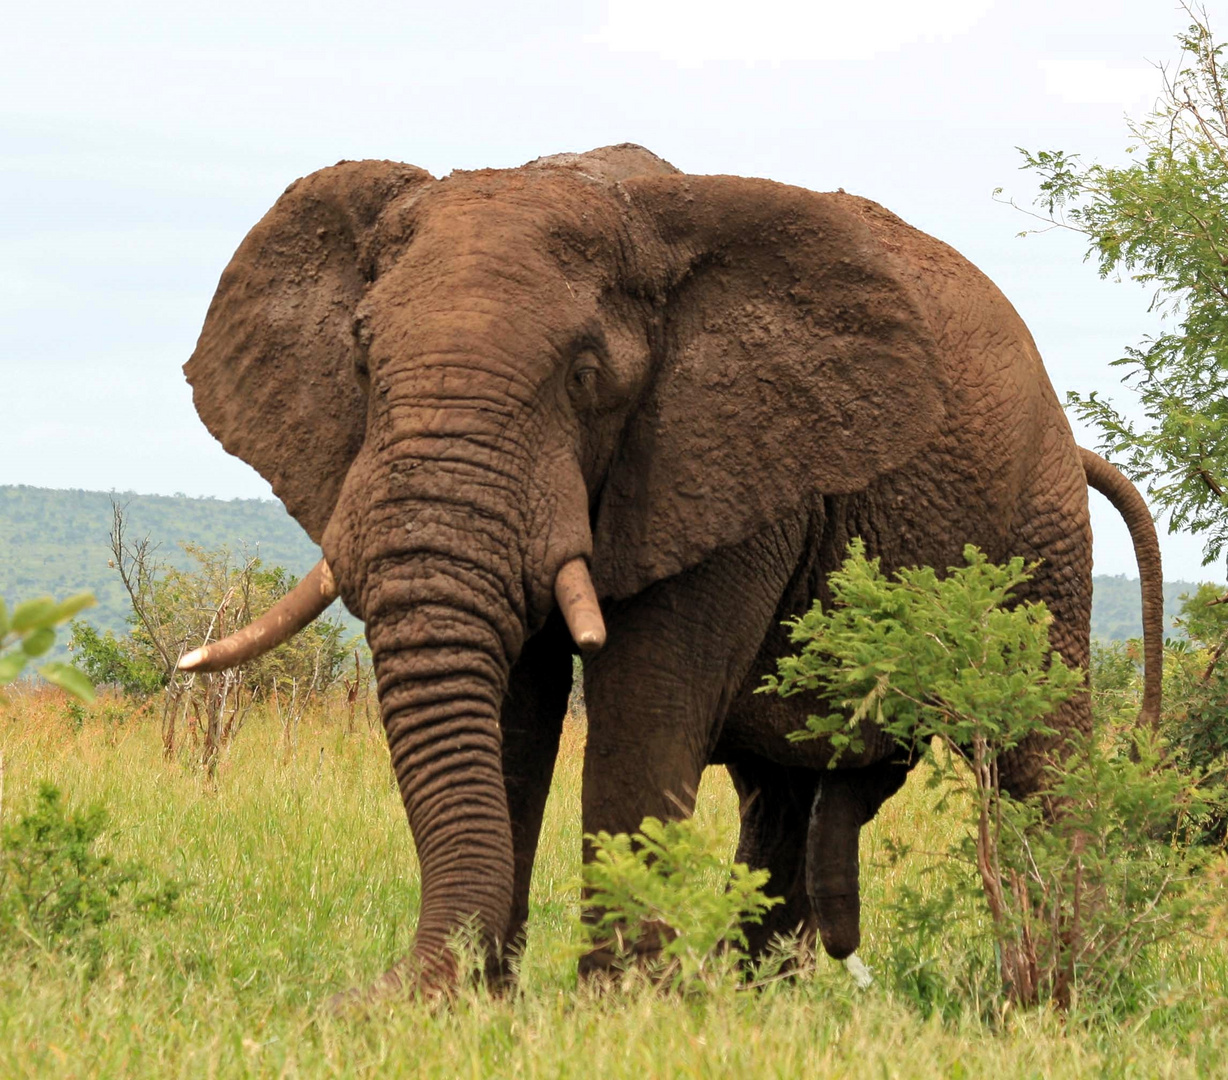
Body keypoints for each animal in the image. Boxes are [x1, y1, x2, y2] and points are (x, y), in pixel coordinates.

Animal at [178, 141, 1164, 997]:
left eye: (584, 376)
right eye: (360, 358)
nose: (358, 999)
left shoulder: (726, 462)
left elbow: (645, 710)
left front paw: (610, 1011)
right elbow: (513, 708)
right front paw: (485, 1005)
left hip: (1039, 538)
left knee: (1040, 758)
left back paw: (1056, 994)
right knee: (782, 797)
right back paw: (758, 1001)